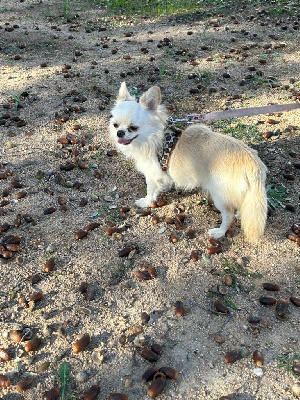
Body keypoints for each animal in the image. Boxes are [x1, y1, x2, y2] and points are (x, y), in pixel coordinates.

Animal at [109, 82, 268, 241]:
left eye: (133, 128)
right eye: (115, 125)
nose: (120, 133)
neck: (153, 138)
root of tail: (254, 165)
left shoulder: (152, 174)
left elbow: (150, 190)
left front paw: (146, 202)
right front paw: (164, 188)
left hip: (219, 194)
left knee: (228, 215)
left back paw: (219, 232)